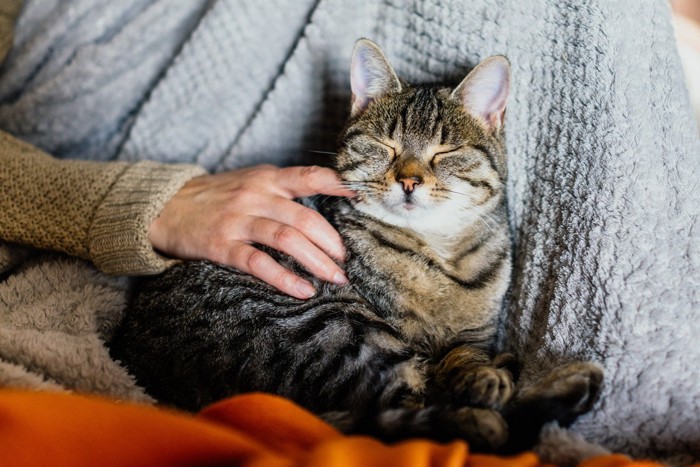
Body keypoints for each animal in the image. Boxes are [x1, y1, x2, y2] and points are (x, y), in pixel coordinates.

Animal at [109, 40, 600, 454]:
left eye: (444, 152)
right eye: (385, 146)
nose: (408, 180)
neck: (441, 253)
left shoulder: (474, 334)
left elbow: (464, 354)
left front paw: (480, 370)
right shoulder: (404, 340)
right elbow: (443, 376)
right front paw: (485, 381)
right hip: (334, 326)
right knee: (412, 413)